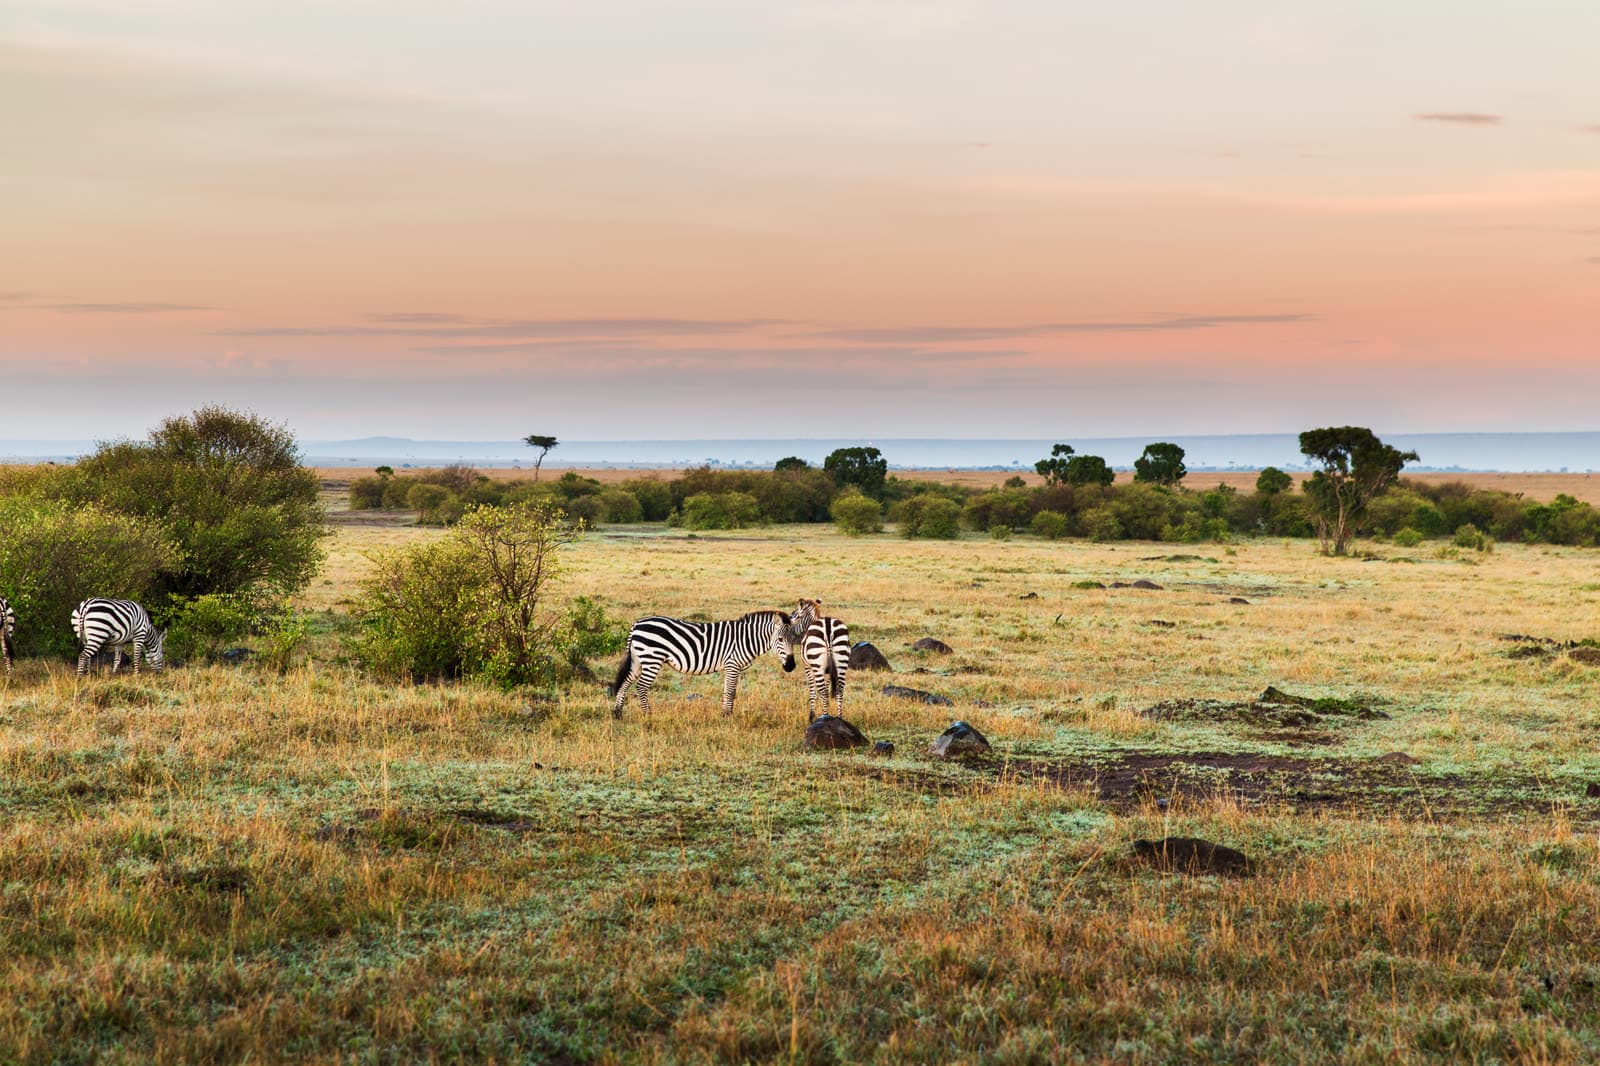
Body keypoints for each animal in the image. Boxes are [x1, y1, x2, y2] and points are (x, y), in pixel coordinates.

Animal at [609, 608, 797, 718]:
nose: (791, 667)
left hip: (638, 660)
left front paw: (724, 713)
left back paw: (618, 713)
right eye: (780, 639)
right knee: (641, 686)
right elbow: (730, 692)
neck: (746, 639)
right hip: (651, 658)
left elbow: (729, 691)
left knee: (625, 682)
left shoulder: (732, 667)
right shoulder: (733, 665)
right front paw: (727, 716)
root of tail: (636, 624)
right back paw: (648, 715)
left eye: (794, 639)